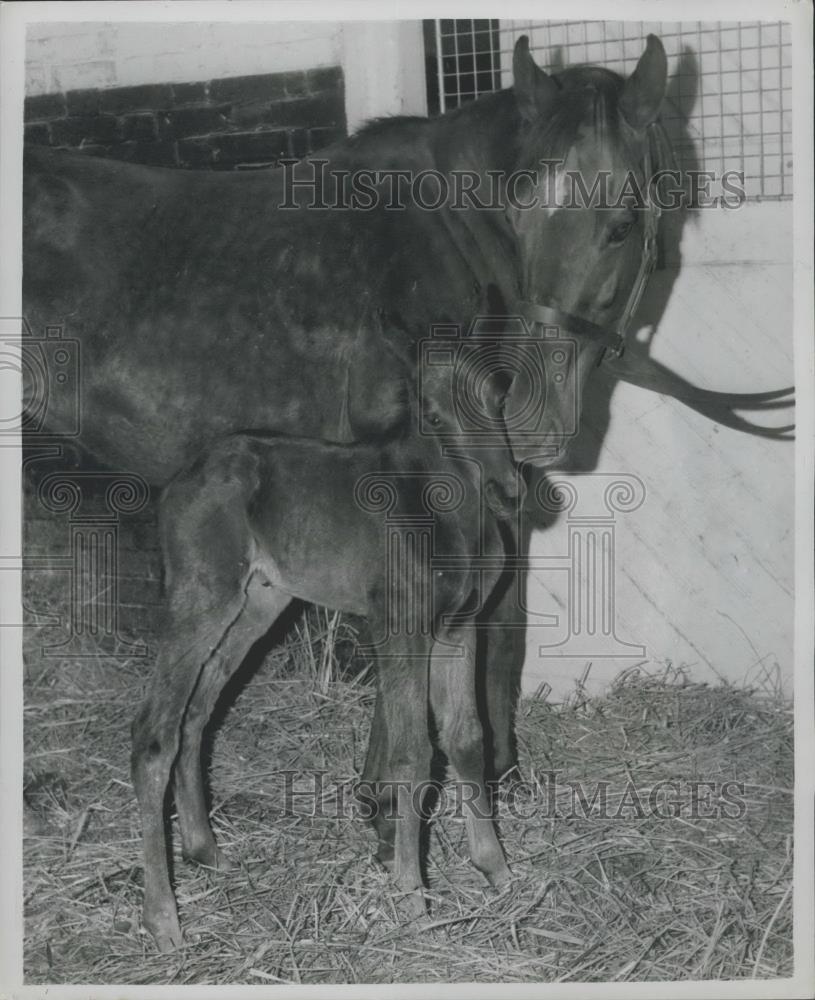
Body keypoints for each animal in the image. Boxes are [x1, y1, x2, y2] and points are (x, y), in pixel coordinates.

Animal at [129, 348, 524, 948]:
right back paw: (163, 917)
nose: (508, 491)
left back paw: (204, 849)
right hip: (203, 595)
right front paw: (411, 895)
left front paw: (496, 869)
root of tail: (182, 479)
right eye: (432, 413)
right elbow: (412, 752)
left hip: (259, 602)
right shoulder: (400, 628)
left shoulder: (459, 628)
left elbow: (467, 739)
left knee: (197, 714)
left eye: (499, 399)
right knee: (156, 732)